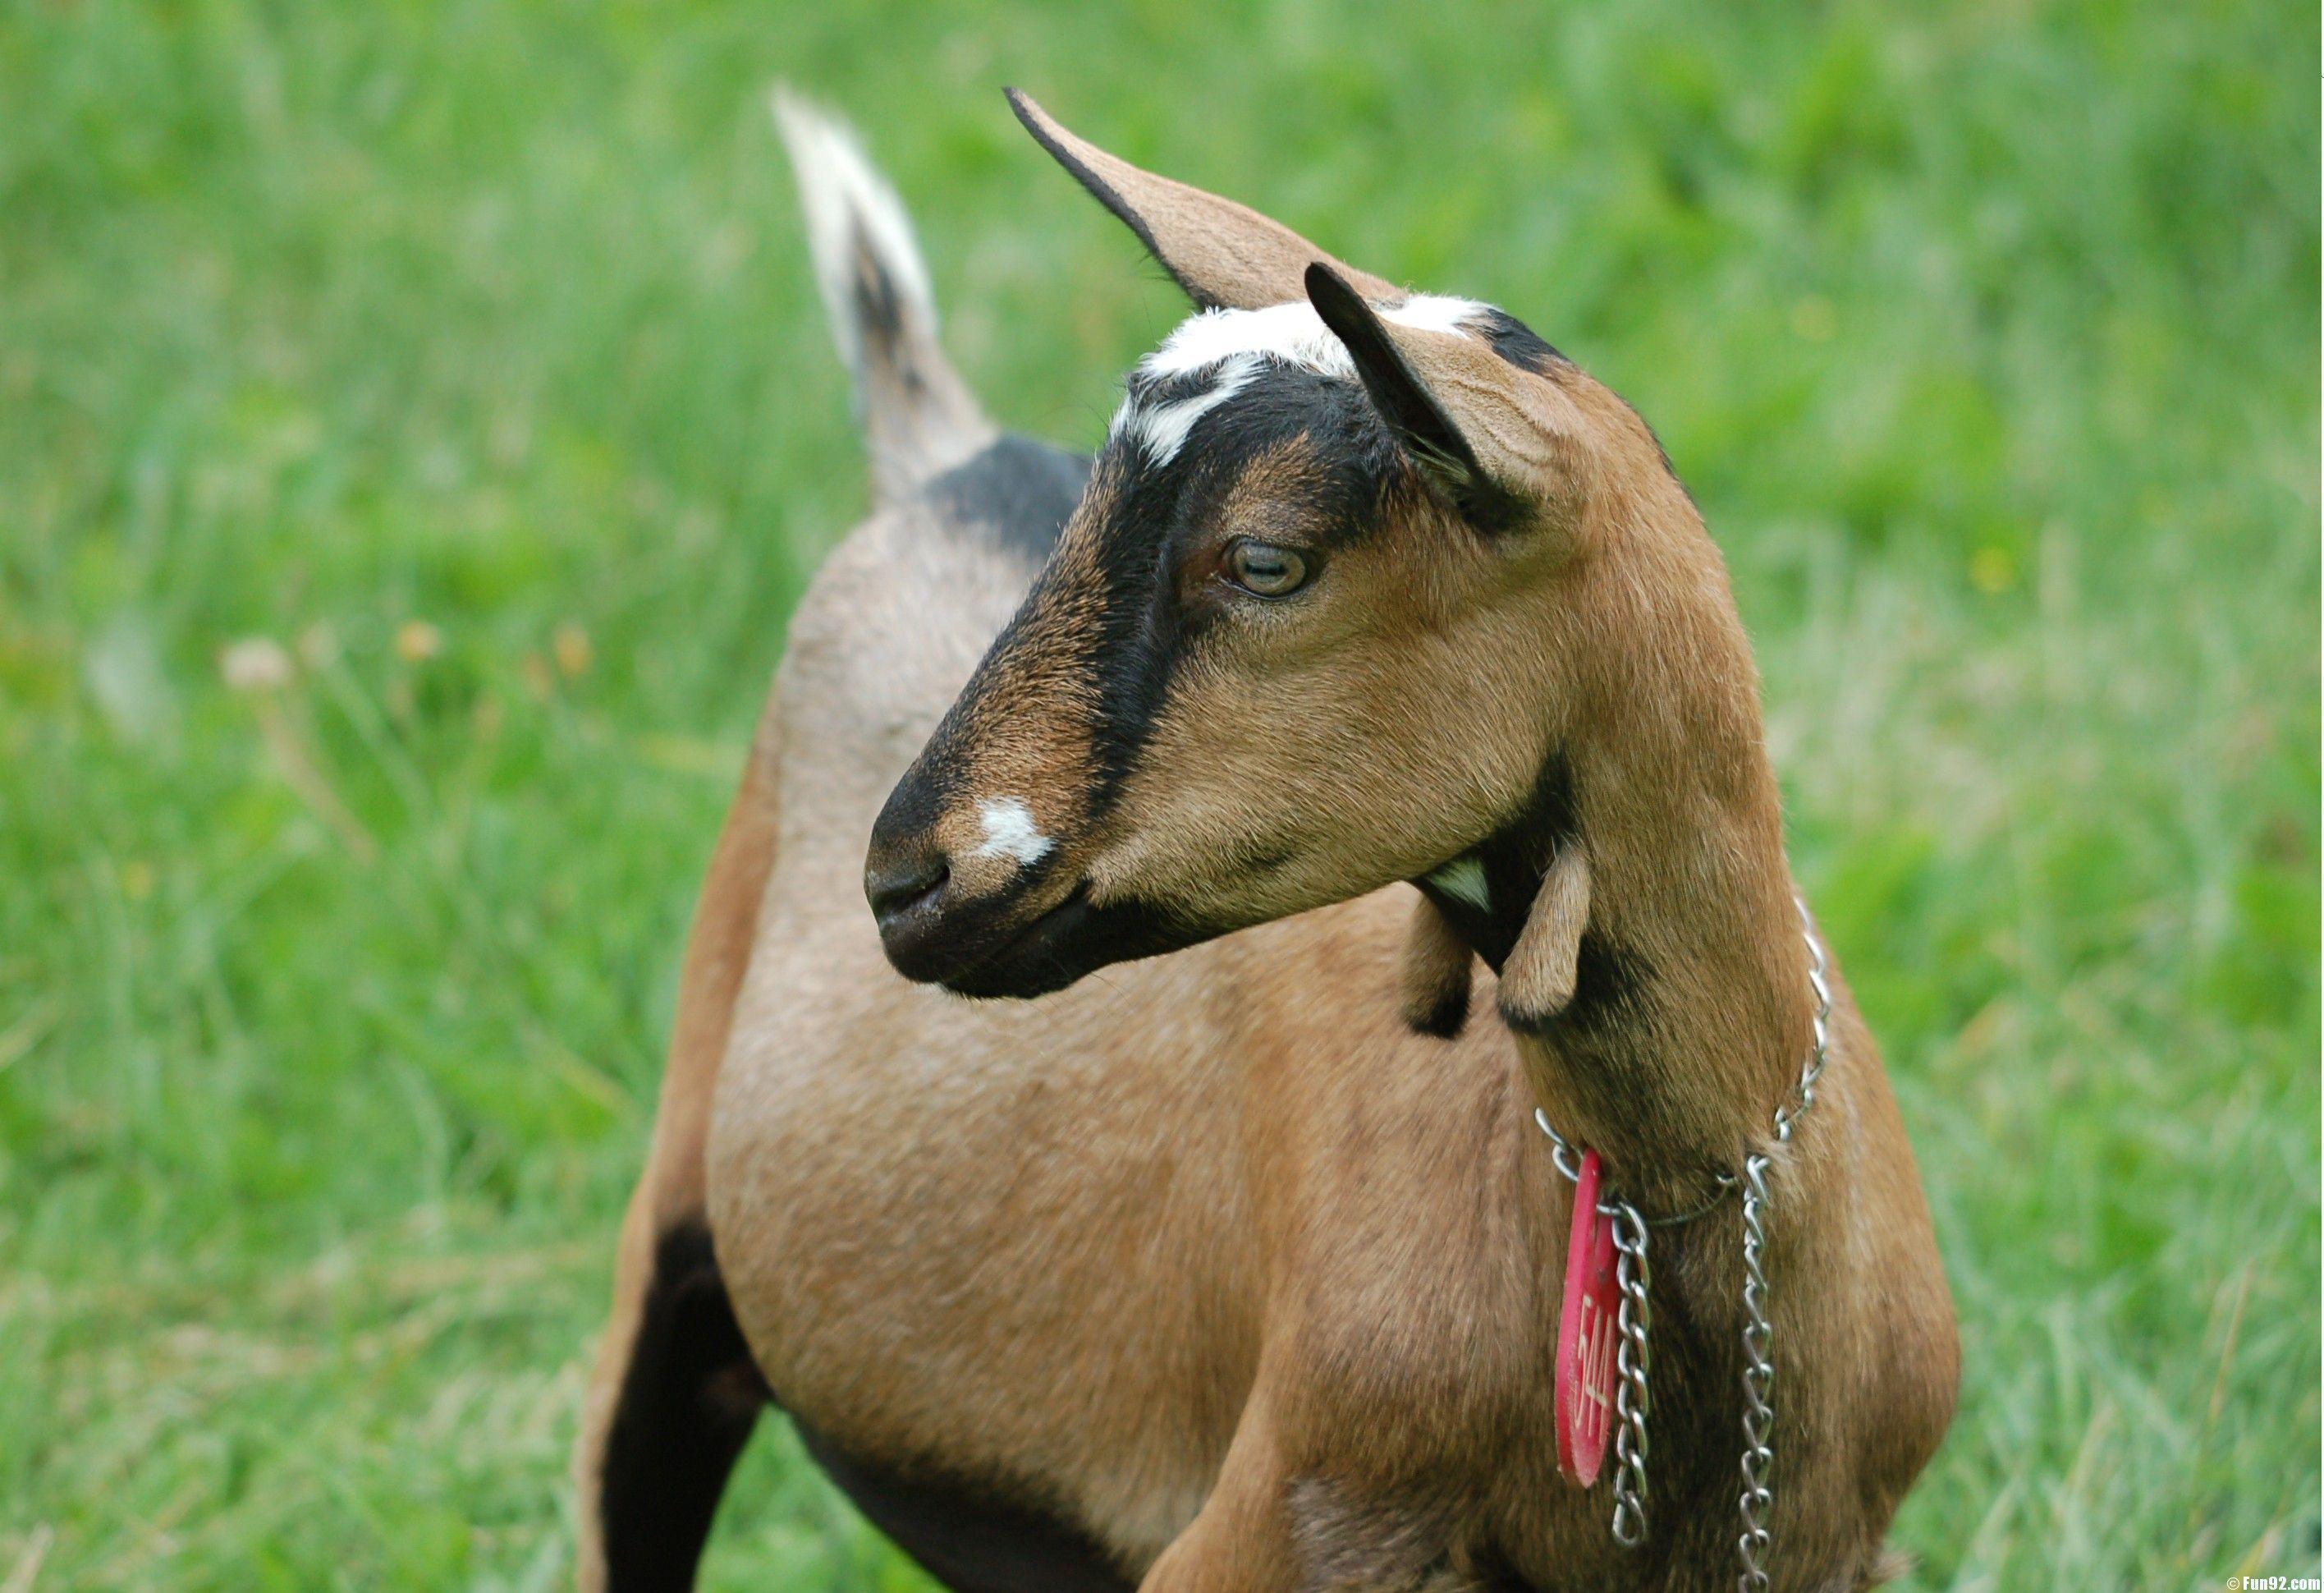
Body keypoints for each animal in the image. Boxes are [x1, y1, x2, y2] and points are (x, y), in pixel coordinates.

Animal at [574, 89, 1958, 1593]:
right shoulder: (1265, 1528)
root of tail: (942, 464)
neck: (1676, 1198)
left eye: (1265, 561)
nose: (906, 879)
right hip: (667, 1265)